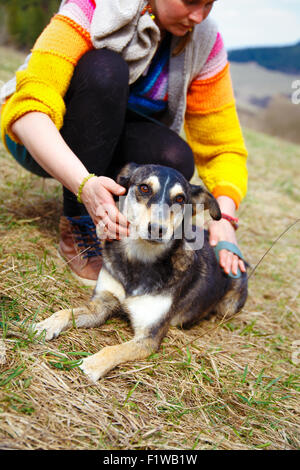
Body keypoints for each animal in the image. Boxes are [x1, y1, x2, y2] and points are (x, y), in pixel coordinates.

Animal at [34, 163, 247, 380]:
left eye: (180, 199)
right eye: (144, 188)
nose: (157, 229)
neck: (140, 259)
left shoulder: (149, 337)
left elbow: (114, 349)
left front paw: (92, 364)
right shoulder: (102, 303)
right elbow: (66, 311)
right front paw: (46, 325)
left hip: (229, 305)